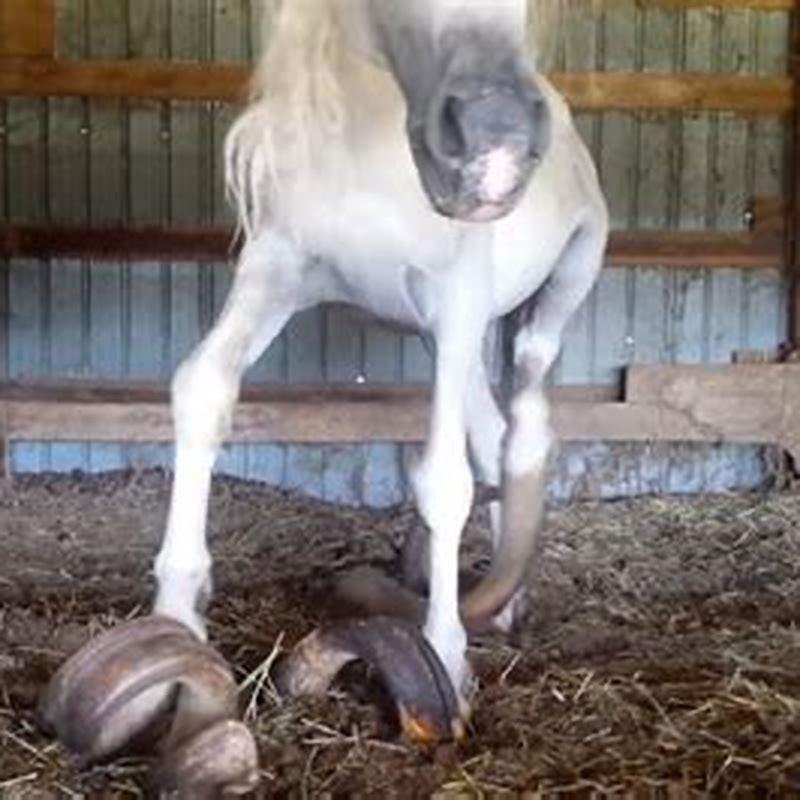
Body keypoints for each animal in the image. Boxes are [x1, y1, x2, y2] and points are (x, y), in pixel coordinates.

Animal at [41, 0, 608, 781]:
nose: (495, 143)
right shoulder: (278, 274)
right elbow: (202, 390)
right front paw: (177, 623)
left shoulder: (458, 298)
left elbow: (444, 481)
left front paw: (448, 665)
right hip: (439, 343)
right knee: (494, 438)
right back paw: (503, 600)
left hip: (554, 290)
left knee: (524, 415)